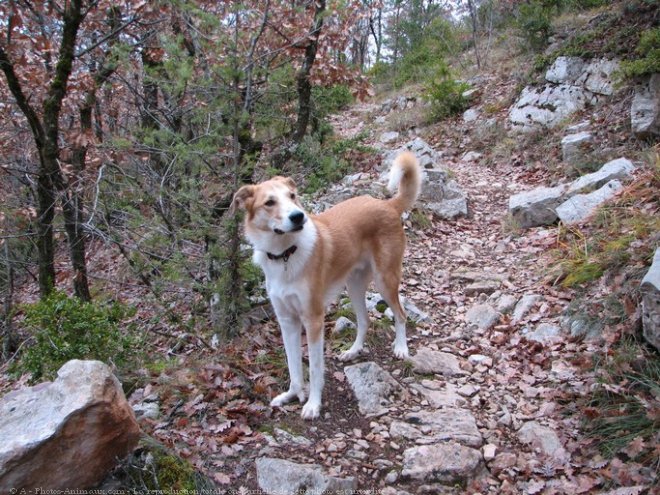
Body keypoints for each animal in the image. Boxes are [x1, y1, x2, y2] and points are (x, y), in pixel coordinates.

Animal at [229, 151, 420, 418]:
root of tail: (387, 204)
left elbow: (314, 368)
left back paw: (401, 348)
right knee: (365, 320)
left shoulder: (313, 320)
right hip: (354, 285)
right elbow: (293, 366)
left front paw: (313, 404)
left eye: (292, 196)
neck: (285, 254)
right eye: (269, 202)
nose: (298, 216)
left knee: (401, 315)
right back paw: (353, 351)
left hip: (385, 279)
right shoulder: (287, 321)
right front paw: (292, 394)